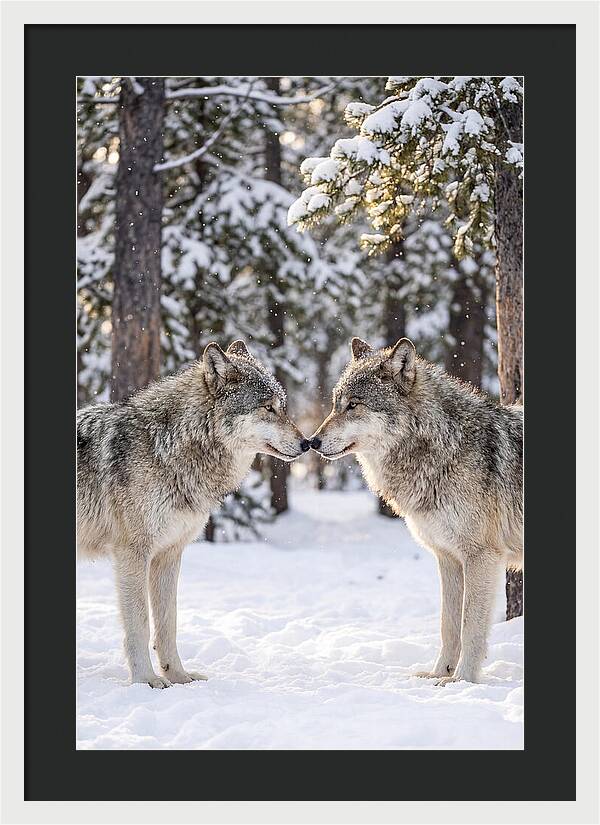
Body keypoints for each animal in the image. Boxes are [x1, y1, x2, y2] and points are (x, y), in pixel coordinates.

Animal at [77, 340, 309, 688]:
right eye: (268, 408)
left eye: (282, 407)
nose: (308, 443)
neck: (167, 448)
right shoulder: (132, 553)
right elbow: (140, 623)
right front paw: (146, 680)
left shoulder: (169, 554)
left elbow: (168, 622)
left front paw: (179, 676)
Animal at [310, 337, 523, 684]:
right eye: (335, 404)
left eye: (354, 405)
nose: (312, 441)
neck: (444, 447)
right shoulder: (448, 558)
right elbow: (448, 625)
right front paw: (438, 673)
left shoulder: (482, 557)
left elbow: (470, 627)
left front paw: (461, 680)